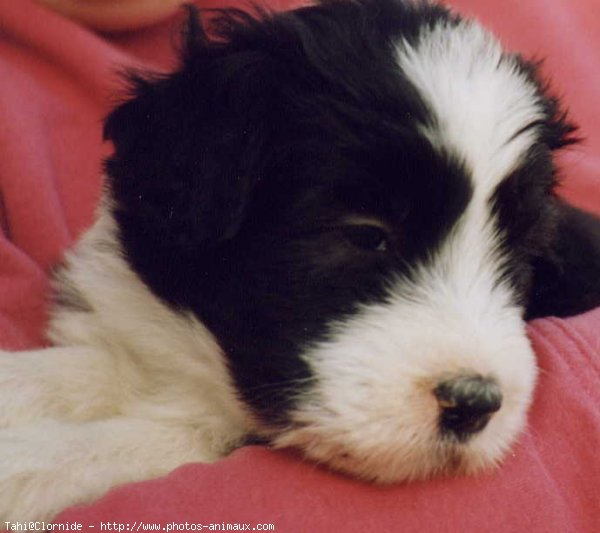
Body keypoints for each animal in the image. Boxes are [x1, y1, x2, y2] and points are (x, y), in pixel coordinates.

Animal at [1, 0, 600, 520]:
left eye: (522, 253)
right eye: (367, 235)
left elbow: (148, 435)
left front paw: (22, 463)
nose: (475, 402)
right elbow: (76, 372)